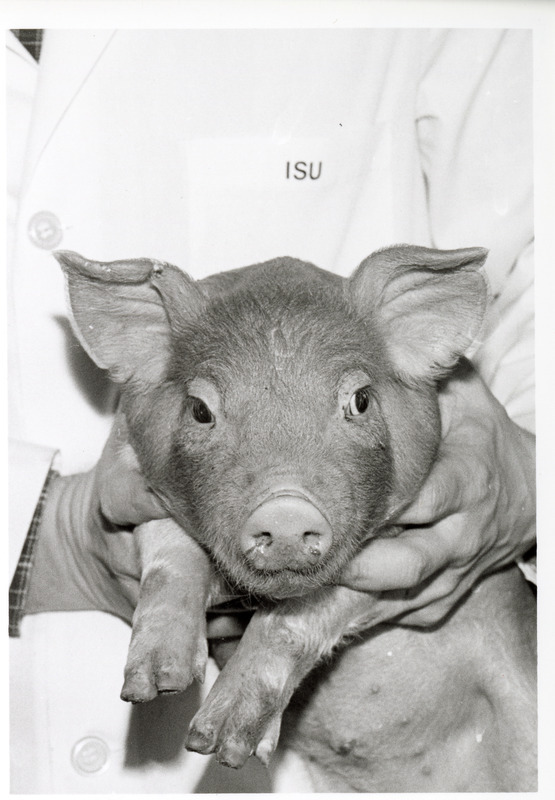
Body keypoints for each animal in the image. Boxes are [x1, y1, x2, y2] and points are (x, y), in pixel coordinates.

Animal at [55, 245, 536, 792]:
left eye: (361, 400)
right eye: (199, 409)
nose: (285, 509)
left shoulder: (389, 558)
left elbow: (296, 619)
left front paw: (221, 745)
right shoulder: (135, 487)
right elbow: (169, 557)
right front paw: (157, 685)